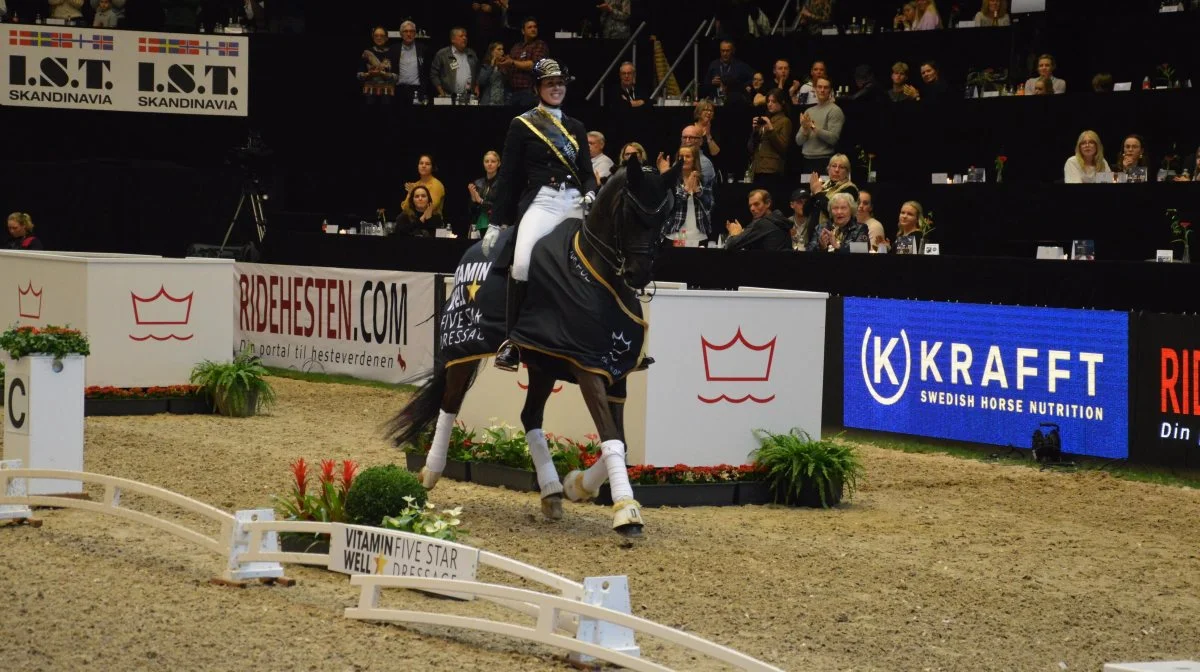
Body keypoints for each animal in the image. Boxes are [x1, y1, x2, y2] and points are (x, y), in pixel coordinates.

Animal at [388, 154, 681, 537]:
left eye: (664, 216)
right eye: (630, 213)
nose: (639, 274)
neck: (596, 279)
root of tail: (472, 249)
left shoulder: (616, 375)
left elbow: (621, 441)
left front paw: (578, 485)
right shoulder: (589, 371)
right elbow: (611, 438)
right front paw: (626, 513)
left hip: (543, 366)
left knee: (530, 417)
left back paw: (553, 492)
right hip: (464, 350)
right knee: (450, 405)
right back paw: (430, 472)